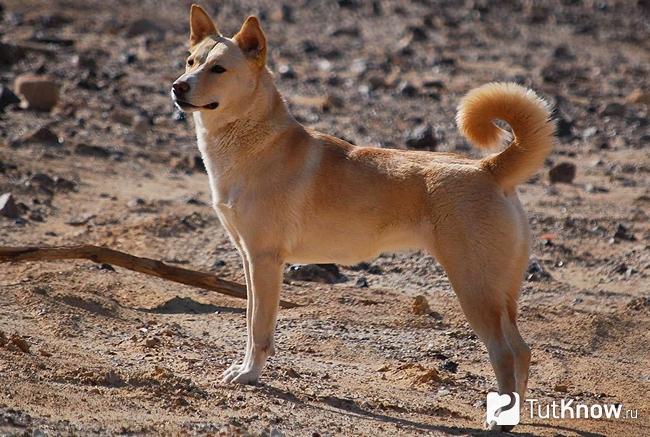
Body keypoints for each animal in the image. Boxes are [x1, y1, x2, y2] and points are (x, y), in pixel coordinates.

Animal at [171, 4, 552, 430]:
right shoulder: (249, 259)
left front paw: (250, 375)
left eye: (219, 69)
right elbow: (252, 321)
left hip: (475, 289)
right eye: (190, 61)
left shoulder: (265, 260)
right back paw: (513, 413)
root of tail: (489, 168)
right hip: (502, 293)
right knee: (524, 350)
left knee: (506, 353)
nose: (178, 87)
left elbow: (260, 329)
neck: (252, 143)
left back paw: (500, 421)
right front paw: (244, 369)